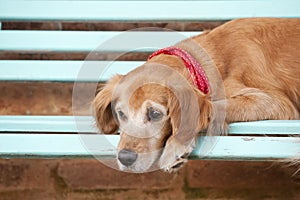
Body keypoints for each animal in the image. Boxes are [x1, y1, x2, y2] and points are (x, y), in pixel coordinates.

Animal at [92, 18, 298, 173]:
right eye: (121, 114)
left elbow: (219, 105)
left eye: (155, 114)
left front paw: (175, 145)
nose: (125, 158)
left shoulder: (275, 102)